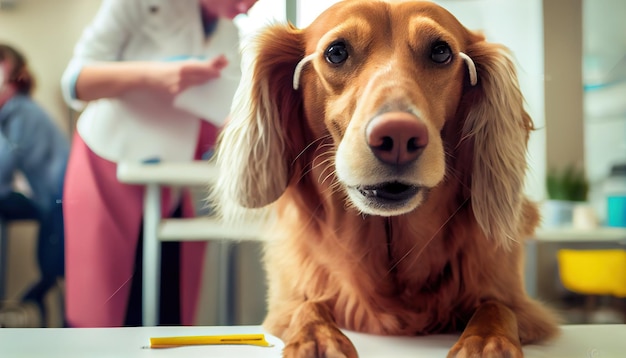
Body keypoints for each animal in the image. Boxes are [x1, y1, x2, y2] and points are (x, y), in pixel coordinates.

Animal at [212, 1, 560, 356]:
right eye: (336, 52)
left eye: (441, 52)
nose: (399, 136)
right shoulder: (287, 300)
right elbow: (308, 304)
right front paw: (316, 337)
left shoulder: (518, 299)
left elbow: (496, 305)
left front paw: (486, 341)